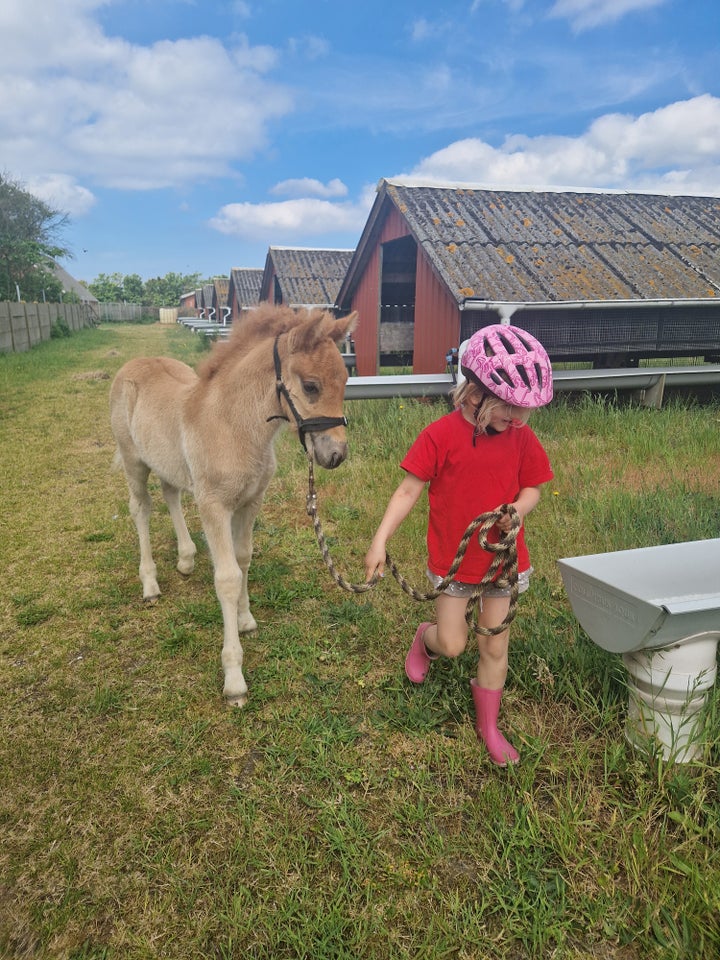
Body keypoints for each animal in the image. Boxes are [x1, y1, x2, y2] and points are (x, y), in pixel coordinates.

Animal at [109, 306, 358, 704]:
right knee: (141, 509)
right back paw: (149, 584)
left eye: (346, 381)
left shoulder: (250, 502)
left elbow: (243, 560)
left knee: (170, 494)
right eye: (311, 385)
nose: (335, 455)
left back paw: (186, 558)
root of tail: (133, 364)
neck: (231, 425)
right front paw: (234, 678)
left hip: (168, 463)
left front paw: (245, 621)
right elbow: (227, 578)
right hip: (134, 462)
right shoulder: (215, 507)